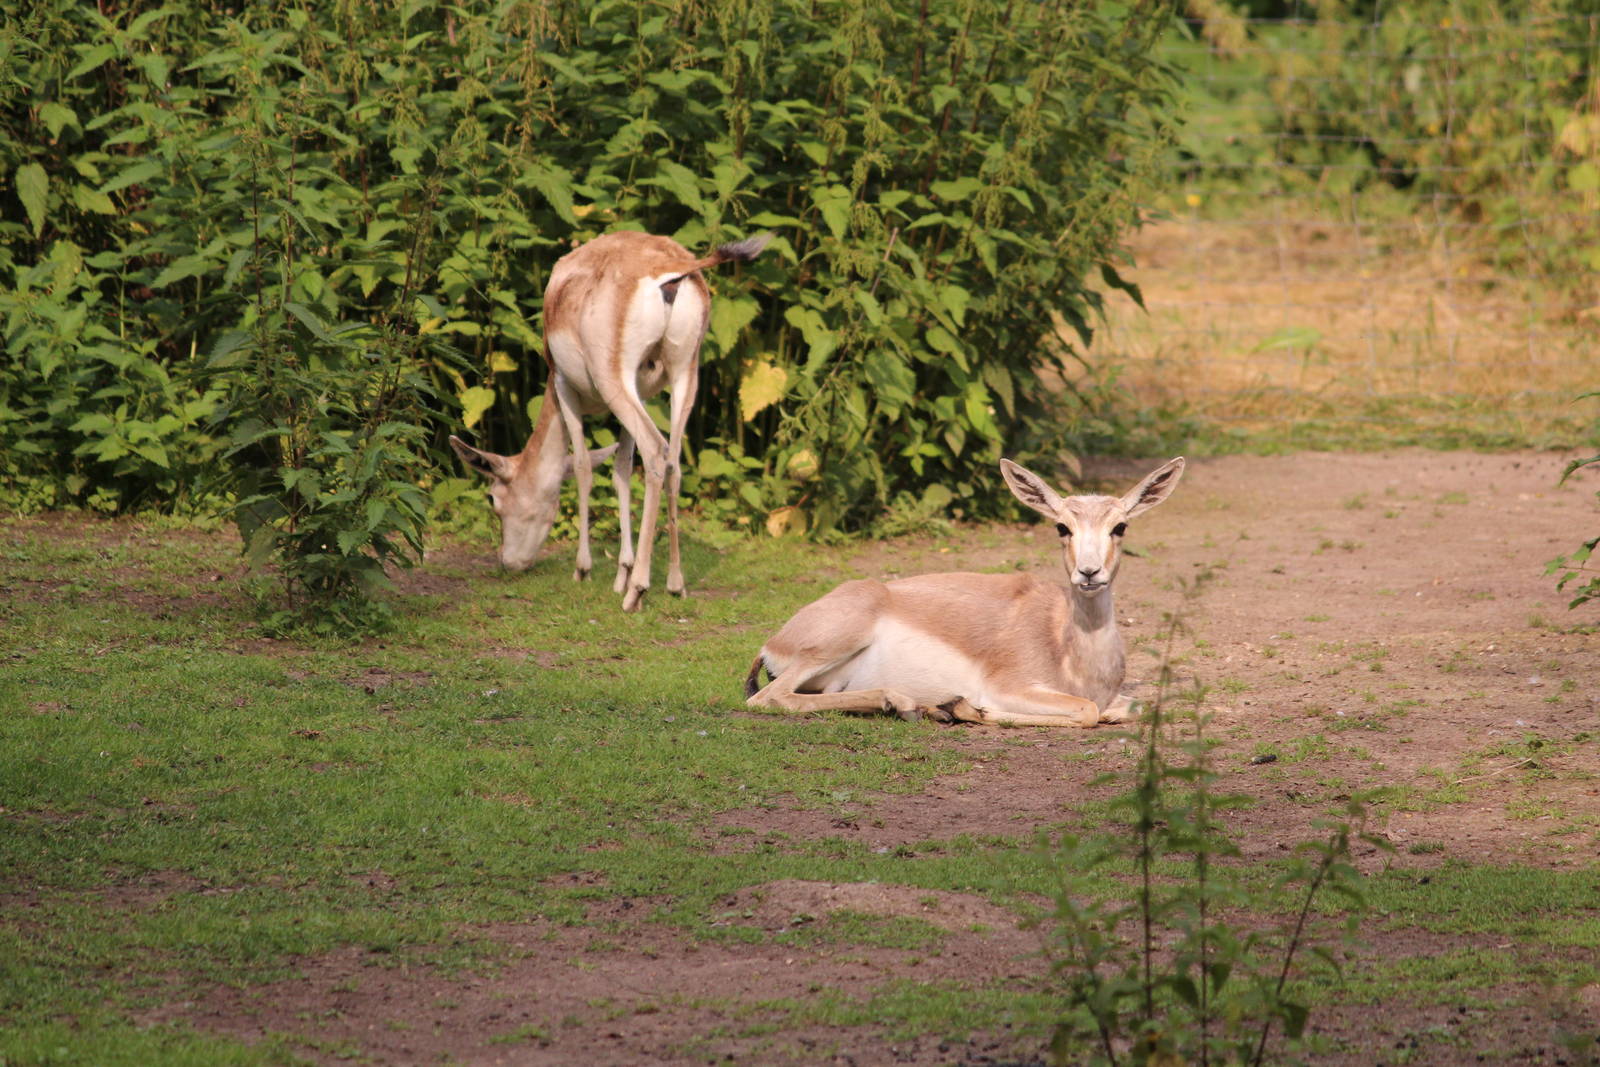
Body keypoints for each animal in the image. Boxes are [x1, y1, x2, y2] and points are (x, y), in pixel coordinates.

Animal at [451, 230, 770, 611]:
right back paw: (674, 584)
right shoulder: (642, 394)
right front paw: (622, 573)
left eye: (493, 498)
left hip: (614, 379)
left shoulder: (563, 387)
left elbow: (583, 467)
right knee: (674, 461)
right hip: (683, 376)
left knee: (656, 452)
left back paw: (638, 591)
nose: (507, 563)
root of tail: (673, 269)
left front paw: (585, 570)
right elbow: (621, 471)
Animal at [744, 456, 1185, 726]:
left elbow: (1135, 706)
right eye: (1062, 527)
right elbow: (1088, 711)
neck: (1071, 652)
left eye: (1120, 526)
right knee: (767, 698)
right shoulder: (1010, 688)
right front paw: (967, 707)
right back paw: (920, 705)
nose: (1089, 572)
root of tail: (773, 643)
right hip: (831, 645)